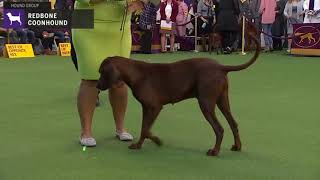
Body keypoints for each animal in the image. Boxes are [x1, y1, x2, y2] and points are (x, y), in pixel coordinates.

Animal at [97, 33, 260, 155]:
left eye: (102, 72)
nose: (97, 86)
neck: (136, 73)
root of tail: (221, 67)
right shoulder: (146, 108)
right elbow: (145, 128)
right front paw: (143, 144)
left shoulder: (154, 107)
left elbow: (145, 129)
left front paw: (156, 141)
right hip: (222, 101)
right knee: (233, 123)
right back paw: (237, 146)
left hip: (206, 103)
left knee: (219, 129)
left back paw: (214, 151)